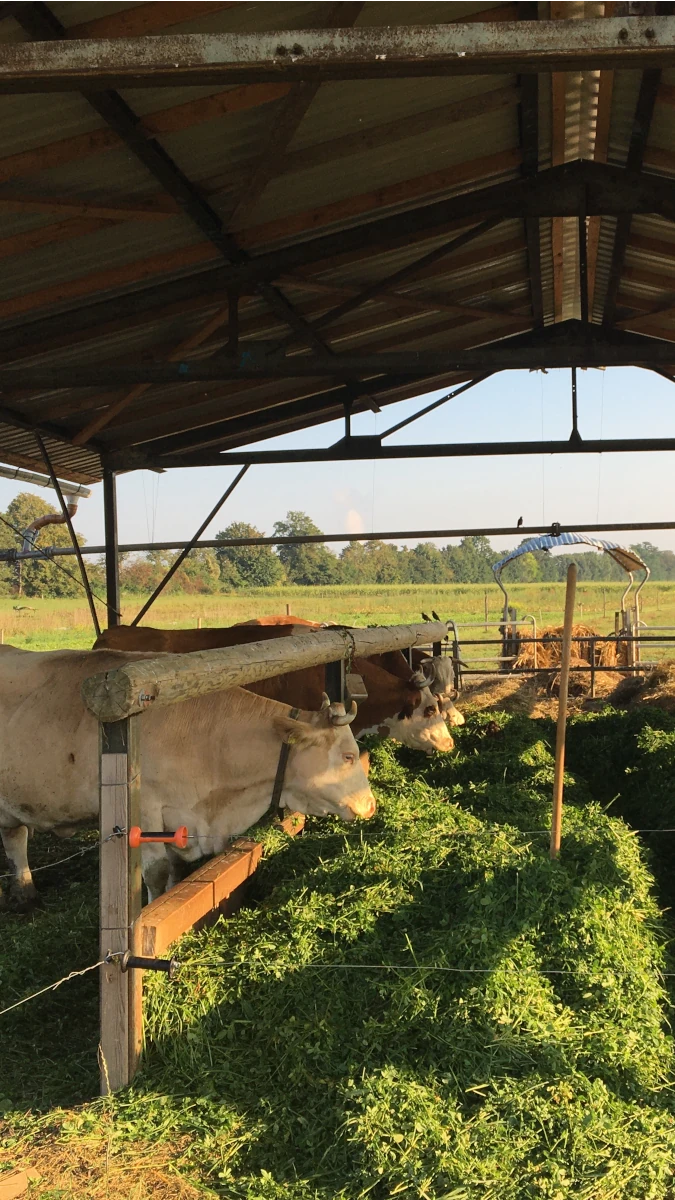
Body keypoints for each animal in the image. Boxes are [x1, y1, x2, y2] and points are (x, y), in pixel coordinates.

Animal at [0, 647, 375, 909]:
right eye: (347, 756)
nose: (371, 805)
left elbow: (175, 870)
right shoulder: (147, 810)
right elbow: (155, 872)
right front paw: (151, 911)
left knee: (14, 836)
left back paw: (26, 891)